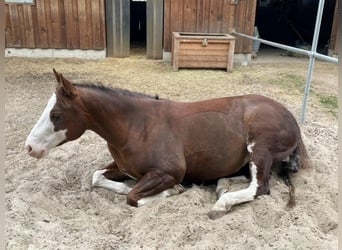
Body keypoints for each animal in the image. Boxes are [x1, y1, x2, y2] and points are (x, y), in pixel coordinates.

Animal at [24, 70, 308, 219]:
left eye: (56, 114)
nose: (29, 148)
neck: (135, 126)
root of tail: (292, 120)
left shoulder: (168, 173)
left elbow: (133, 197)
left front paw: (173, 191)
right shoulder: (122, 166)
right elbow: (97, 177)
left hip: (259, 149)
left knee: (260, 187)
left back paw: (221, 204)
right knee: (246, 178)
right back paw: (222, 186)